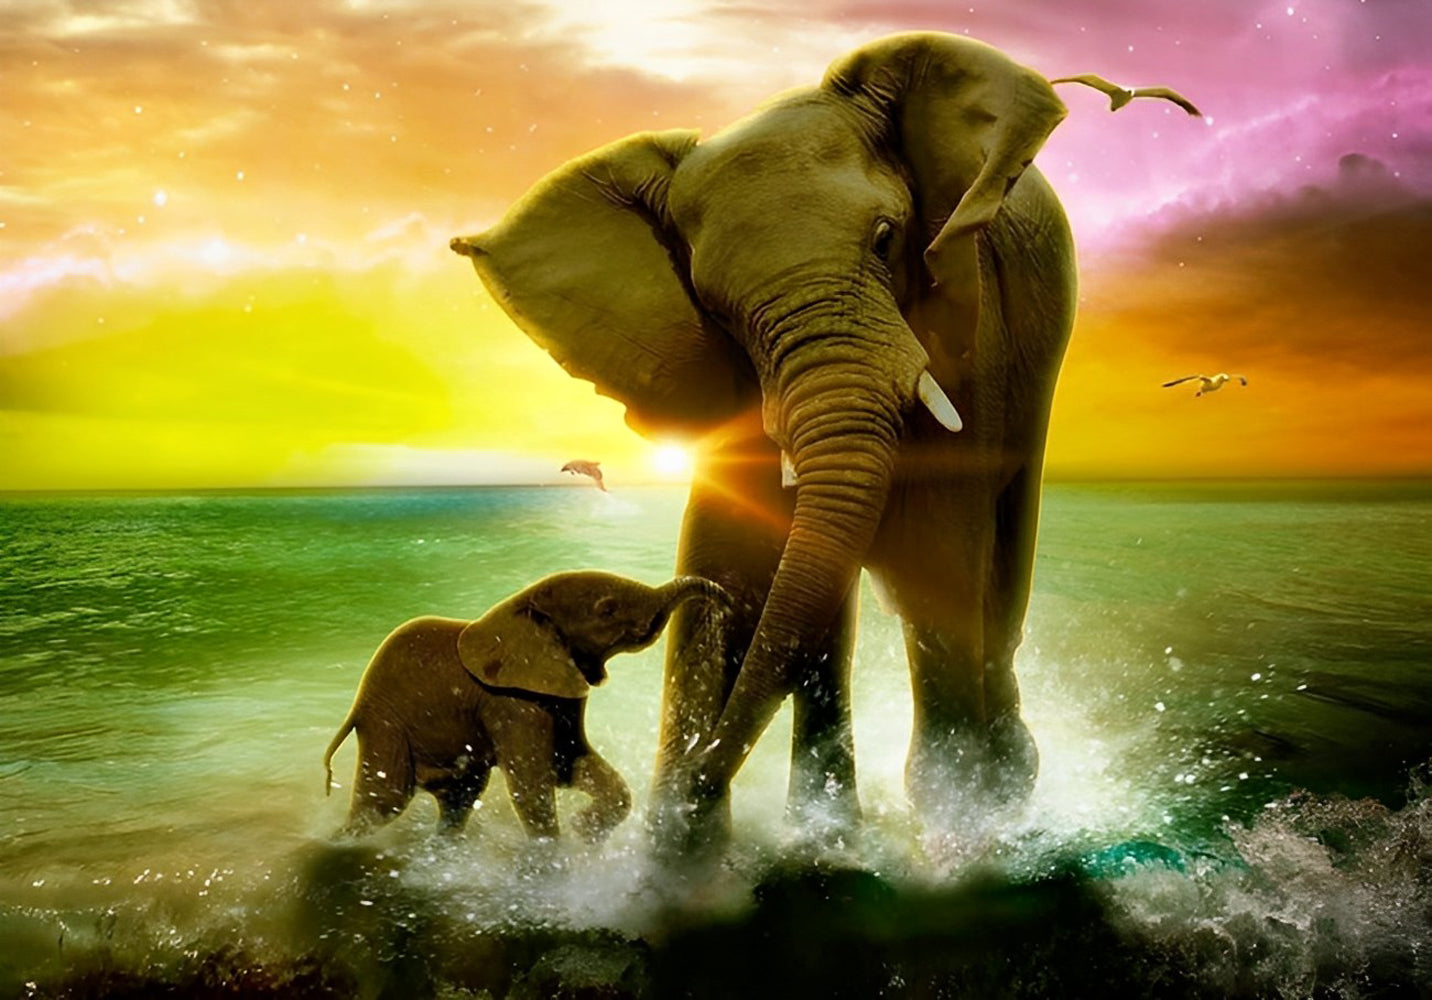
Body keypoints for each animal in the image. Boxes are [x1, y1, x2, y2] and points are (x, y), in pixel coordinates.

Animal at [323, 571, 729, 840]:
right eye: (607, 609)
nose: (724, 602)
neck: (522, 603)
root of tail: (355, 706)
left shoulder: (560, 694)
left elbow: (569, 762)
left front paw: (584, 831)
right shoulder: (510, 703)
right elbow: (532, 785)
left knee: (459, 796)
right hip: (384, 726)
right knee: (383, 803)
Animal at [450, 33, 1199, 848]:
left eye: (887, 239)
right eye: (714, 304)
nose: (689, 796)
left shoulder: (971, 320)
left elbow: (937, 544)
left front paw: (962, 825)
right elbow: (738, 549)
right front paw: (679, 850)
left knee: (996, 552)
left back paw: (999, 785)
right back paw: (832, 825)